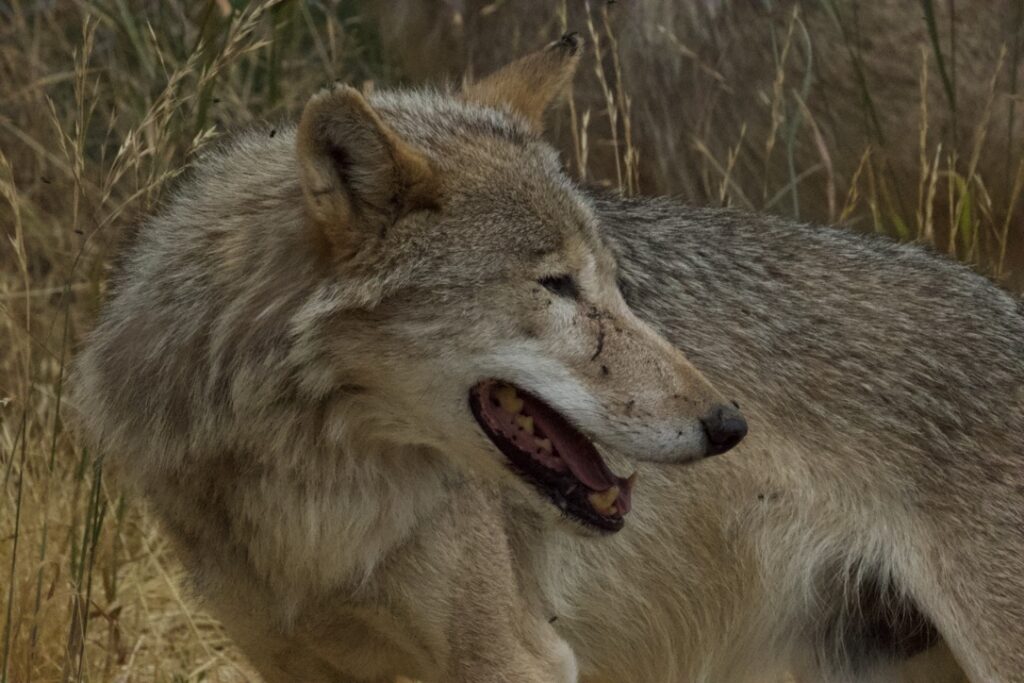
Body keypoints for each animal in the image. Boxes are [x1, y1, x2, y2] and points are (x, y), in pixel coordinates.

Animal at [71, 36, 1024, 682]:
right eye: (559, 286)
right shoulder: (291, 662)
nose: (730, 423)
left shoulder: (517, 656)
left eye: (618, 282)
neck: (314, 494)